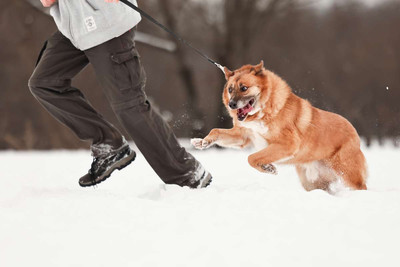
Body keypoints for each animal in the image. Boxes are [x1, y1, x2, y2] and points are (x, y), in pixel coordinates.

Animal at [192, 61, 368, 194]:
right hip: (312, 182)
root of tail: (354, 133)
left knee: (361, 187)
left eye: (244, 88)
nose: (232, 105)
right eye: (230, 89)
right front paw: (202, 142)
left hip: (348, 174)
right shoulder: (244, 136)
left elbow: (252, 157)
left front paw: (268, 167)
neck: (263, 111)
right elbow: (216, 131)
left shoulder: (287, 144)